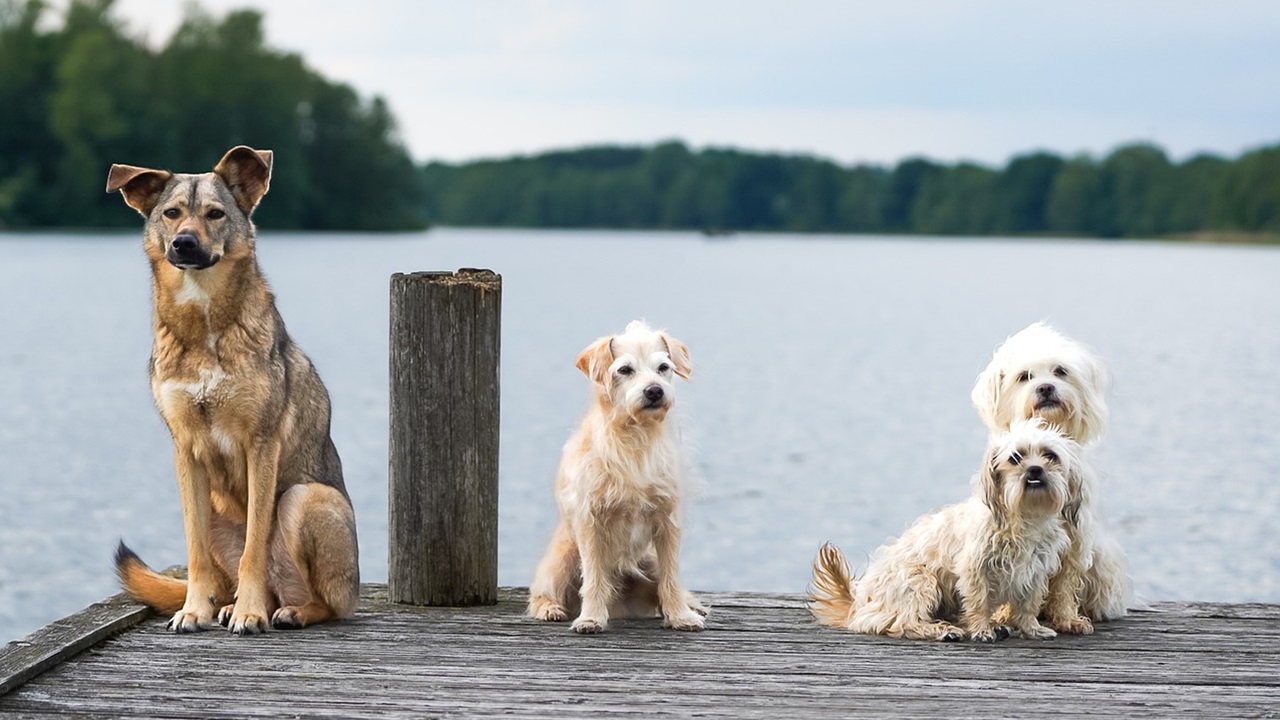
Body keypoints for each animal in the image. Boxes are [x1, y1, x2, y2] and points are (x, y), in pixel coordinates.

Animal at [104, 146, 360, 632]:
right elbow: (195, 554)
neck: (204, 321)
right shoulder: (185, 449)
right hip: (218, 511)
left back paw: (286, 611)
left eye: (215, 213)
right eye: (171, 213)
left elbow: (254, 548)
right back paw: (226, 605)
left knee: (326, 602)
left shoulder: (260, 444)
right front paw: (194, 609)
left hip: (305, 499)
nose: (184, 244)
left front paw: (250, 613)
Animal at [529, 316, 711, 630]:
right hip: (562, 558)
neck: (635, 435)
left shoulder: (668, 520)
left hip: (648, 560)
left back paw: (690, 606)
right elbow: (593, 576)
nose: (654, 391)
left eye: (664, 367)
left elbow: (671, 577)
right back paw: (549, 608)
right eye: (625, 369)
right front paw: (590, 617)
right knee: (542, 591)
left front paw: (680, 615)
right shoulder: (590, 521)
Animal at [808, 417, 1080, 640]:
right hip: (920, 579)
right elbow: (979, 601)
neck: (1024, 516)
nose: (1035, 469)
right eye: (1016, 457)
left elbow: (1027, 605)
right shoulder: (975, 569)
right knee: (901, 622)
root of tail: (860, 604)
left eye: (1050, 456)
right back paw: (941, 630)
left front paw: (1031, 628)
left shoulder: (1034, 571)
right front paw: (982, 630)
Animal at [972, 319, 1136, 627]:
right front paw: (1004, 614)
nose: (1046, 387)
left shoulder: (1075, 535)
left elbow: (1065, 582)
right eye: (1024, 376)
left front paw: (1067, 618)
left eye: (1060, 371)